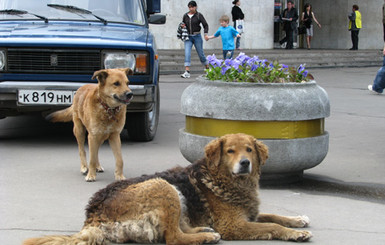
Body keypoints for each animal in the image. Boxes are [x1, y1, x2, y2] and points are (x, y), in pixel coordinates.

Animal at [22, 134, 312, 245]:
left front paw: (298, 220)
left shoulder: (249, 214)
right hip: (163, 186)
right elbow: (270, 225)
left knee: (175, 230)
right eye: (230, 151)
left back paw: (203, 230)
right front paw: (293, 233)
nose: (245, 163)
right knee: (172, 236)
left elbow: (274, 215)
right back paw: (205, 236)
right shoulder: (234, 225)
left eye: (249, 149)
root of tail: (93, 216)